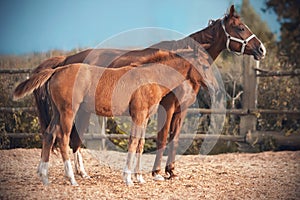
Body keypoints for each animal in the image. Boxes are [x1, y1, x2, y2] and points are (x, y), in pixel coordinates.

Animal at [14, 47, 219, 185]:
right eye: (204, 64)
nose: (215, 88)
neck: (151, 76)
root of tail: (57, 69)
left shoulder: (145, 117)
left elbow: (140, 144)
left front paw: (139, 178)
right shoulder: (138, 115)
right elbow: (134, 142)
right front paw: (128, 178)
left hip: (58, 112)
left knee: (49, 134)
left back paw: (44, 175)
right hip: (68, 112)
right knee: (63, 138)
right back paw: (72, 179)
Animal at [30, 5, 264, 181]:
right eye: (240, 28)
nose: (261, 49)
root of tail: (65, 60)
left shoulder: (181, 109)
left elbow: (174, 138)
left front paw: (171, 171)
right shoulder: (166, 107)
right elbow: (161, 137)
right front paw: (156, 172)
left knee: (69, 138)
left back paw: (77, 173)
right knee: (71, 138)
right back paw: (77, 173)